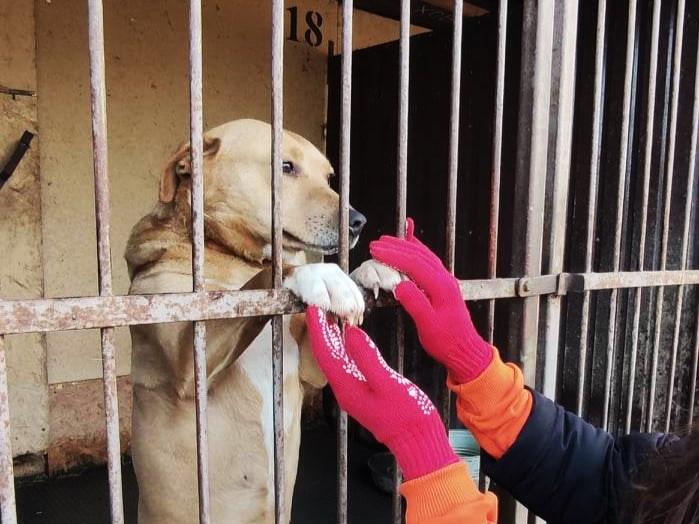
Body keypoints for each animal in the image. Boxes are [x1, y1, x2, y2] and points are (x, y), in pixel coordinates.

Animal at [126, 119, 400, 524]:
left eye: (329, 177)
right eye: (285, 167)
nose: (358, 222)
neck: (229, 255)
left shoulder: (311, 371)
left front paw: (371, 269)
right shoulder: (187, 361)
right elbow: (272, 271)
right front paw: (320, 274)